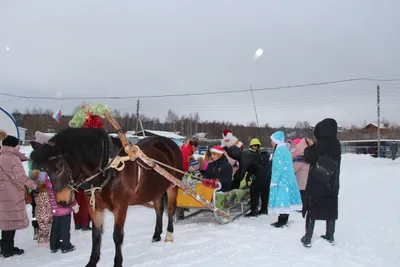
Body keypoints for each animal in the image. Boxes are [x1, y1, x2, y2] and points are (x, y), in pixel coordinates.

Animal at [29, 128, 183, 267]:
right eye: (45, 170)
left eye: (60, 167)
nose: (62, 202)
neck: (109, 169)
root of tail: (168, 142)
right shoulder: (94, 207)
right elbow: (96, 235)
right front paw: (92, 262)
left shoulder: (121, 207)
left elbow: (117, 236)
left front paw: (117, 262)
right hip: (155, 189)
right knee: (159, 210)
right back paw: (156, 235)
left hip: (173, 186)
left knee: (170, 209)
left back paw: (169, 234)